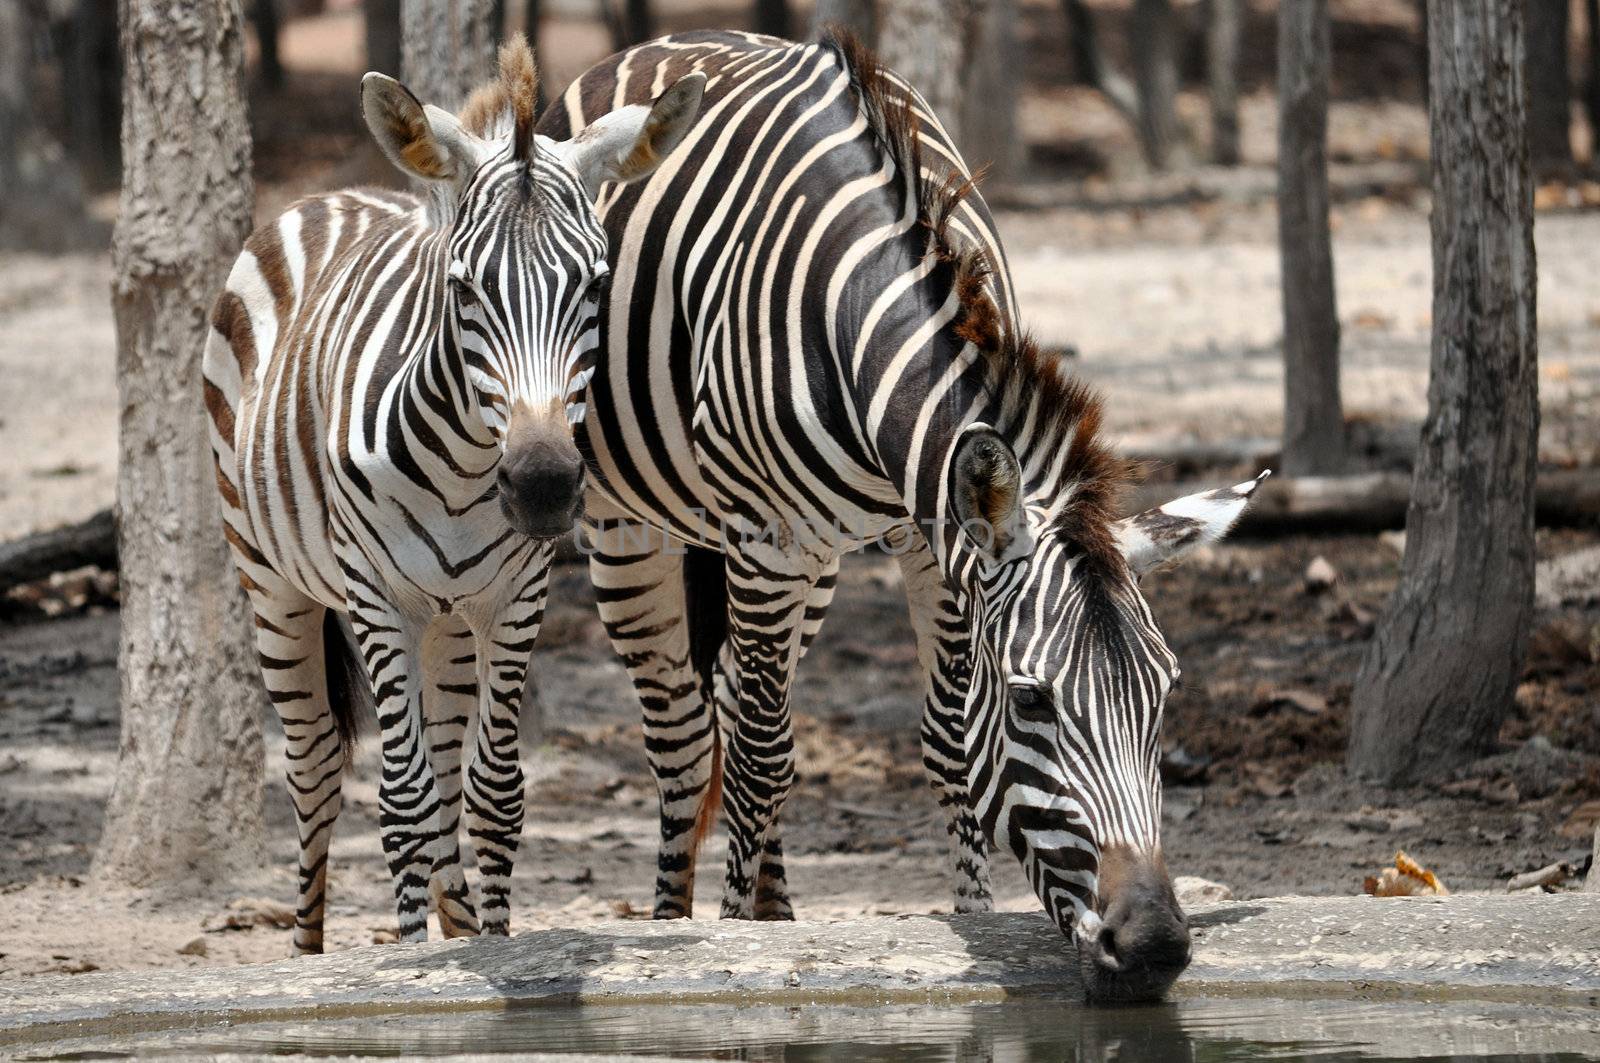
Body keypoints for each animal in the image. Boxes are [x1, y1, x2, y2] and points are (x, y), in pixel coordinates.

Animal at [203, 37, 704, 947]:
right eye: (465, 287)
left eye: (595, 284)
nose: (541, 485)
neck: (465, 466)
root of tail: (329, 196)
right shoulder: (377, 598)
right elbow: (400, 801)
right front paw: (410, 956)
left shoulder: (515, 597)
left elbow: (491, 792)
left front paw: (492, 941)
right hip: (271, 579)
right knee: (316, 767)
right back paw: (311, 948)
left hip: (447, 620)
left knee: (439, 770)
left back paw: (458, 916)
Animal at [544, 29, 1267, 998]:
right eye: (1033, 702)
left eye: (1165, 693)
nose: (1152, 945)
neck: (864, 310)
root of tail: (670, 40)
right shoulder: (767, 544)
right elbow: (760, 757)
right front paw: (735, 940)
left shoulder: (939, 542)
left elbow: (950, 745)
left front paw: (972, 917)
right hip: (632, 531)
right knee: (689, 738)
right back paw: (680, 919)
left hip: (814, 566)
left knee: (737, 702)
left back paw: (778, 909)